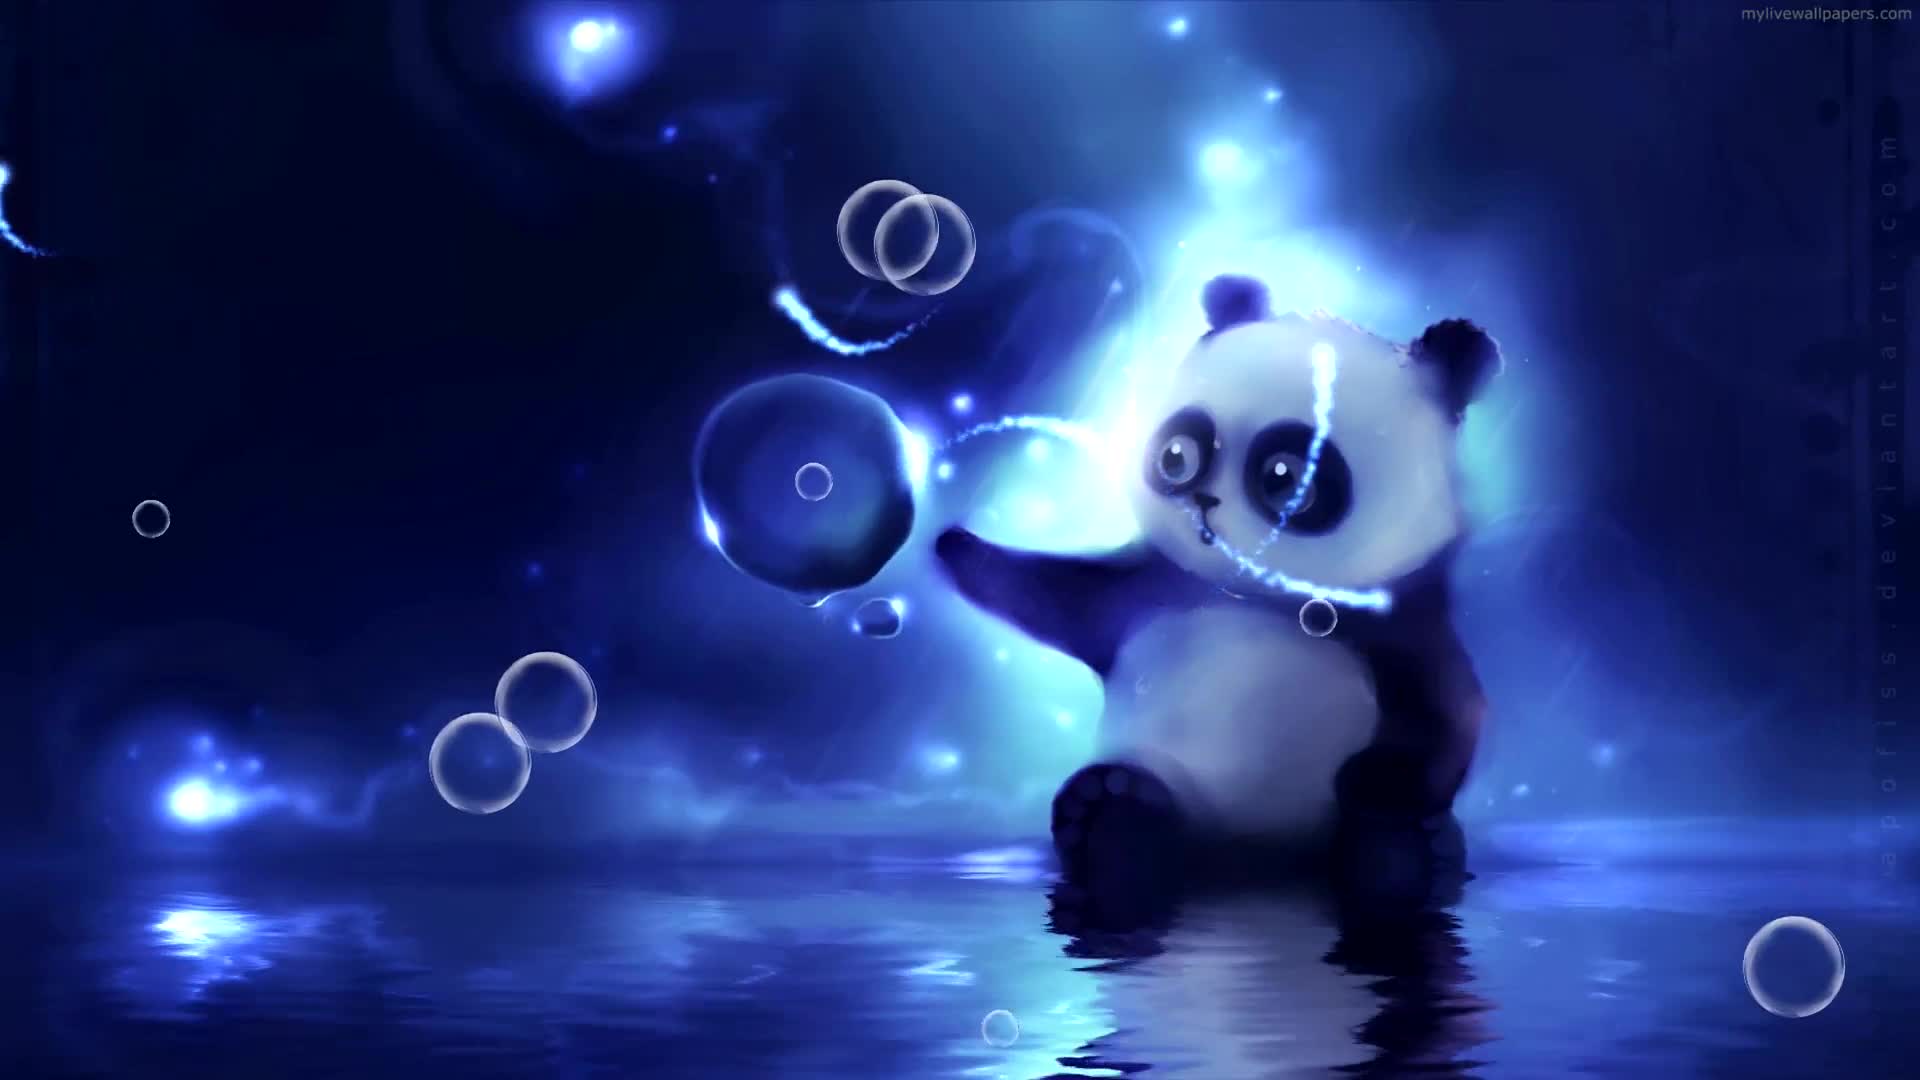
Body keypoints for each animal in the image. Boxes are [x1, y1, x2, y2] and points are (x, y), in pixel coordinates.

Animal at [935, 273, 1500, 885]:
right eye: (1177, 454)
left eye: (1285, 476)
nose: (1204, 501)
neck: (1248, 594)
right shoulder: (1147, 591)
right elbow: (1055, 593)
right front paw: (955, 547)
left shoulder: (1396, 621)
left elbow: (1450, 706)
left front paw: (1378, 784)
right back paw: (1113, 824)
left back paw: (1405, 849)